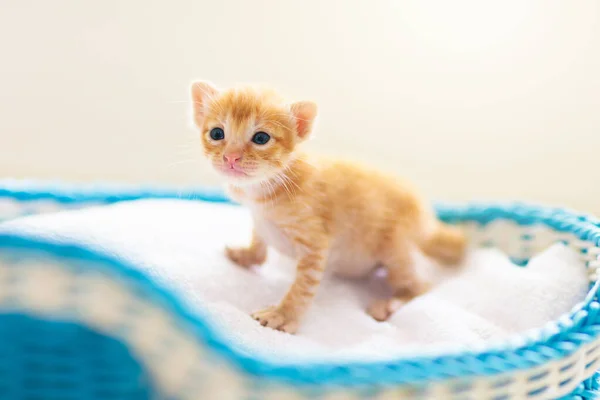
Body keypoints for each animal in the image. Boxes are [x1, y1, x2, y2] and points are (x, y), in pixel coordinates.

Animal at [190, 79, 466, 332]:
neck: (265, 188)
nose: (231, 157)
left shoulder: (315, 244)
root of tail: (428, 221)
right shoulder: (259, 218)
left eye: (261, 138)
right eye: (217, 134)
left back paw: (389, 303)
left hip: (396, 250)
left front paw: (283, 315)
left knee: (423, 285)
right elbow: (259, 239)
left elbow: (302, 287)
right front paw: (247, 255)